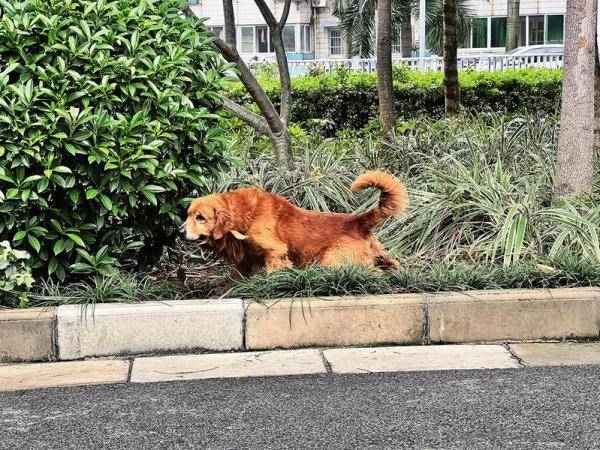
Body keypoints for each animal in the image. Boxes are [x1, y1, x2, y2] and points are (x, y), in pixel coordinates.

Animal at [182, 171, 408, 276]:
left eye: (200, 217)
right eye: (188, 214)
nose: (180, 231)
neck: (244, 214)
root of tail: (358, 220)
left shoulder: (275, 251)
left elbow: (273, 270)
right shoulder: (246, 259)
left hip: (332, 261)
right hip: (381, 254)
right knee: (393, 265)